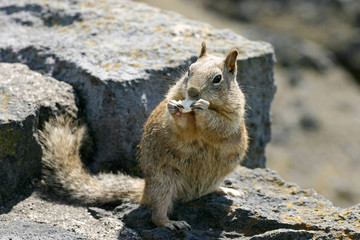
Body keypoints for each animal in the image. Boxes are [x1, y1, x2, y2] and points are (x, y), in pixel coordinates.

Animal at [38, 42, 248, 232]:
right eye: (189, 71)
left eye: (217, 78)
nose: (192, 92)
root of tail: (145, 190)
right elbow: (183, 130)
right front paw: (177, 111)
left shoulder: (233, 117)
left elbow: (221, 127)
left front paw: (203, 108)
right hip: (163, 182)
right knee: (157, 214)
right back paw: (170, 222)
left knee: (206, 190)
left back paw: (226, 189)